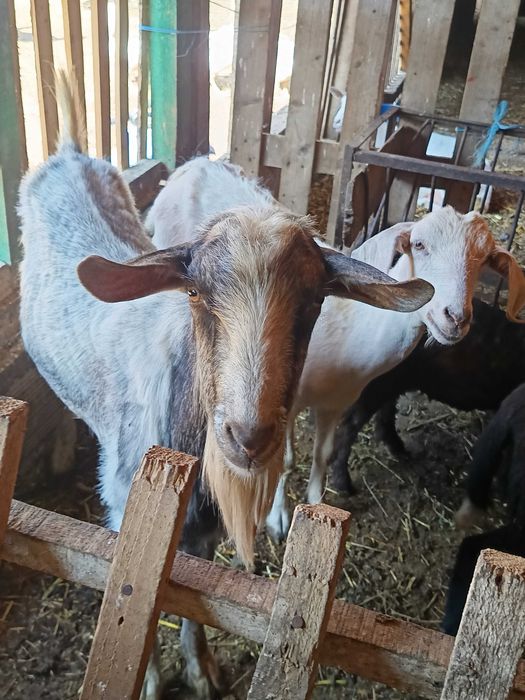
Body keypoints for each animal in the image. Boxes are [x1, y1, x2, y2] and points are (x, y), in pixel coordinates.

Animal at [19, 74, 432, 698]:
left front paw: (202, 670)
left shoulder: (203, 532)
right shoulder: (124, 512)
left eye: (316, 301)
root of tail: (68, 150)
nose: (248, 435)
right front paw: (152, 681)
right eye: (195, 293)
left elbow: (188, 591)